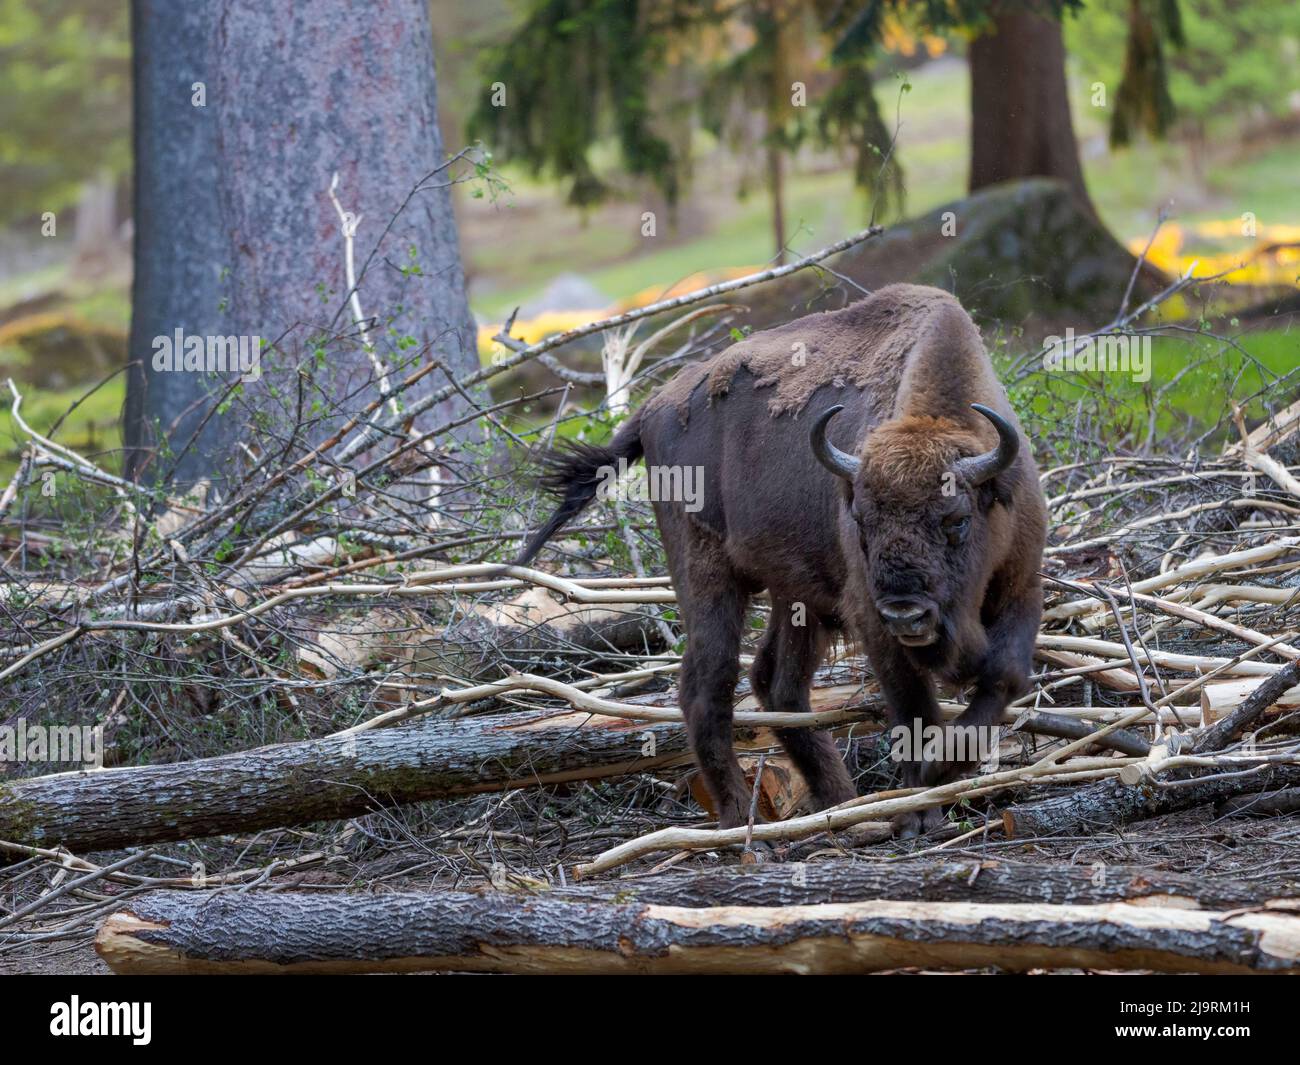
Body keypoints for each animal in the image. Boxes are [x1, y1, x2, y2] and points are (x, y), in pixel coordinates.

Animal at [517, 284, 1045, 842]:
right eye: (860, 520)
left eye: (957, 519)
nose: (906, 613)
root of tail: (652, 409)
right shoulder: (871, 617)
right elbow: (912, 707)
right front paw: (919, 804)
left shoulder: (1022, 587)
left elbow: (1006, 675)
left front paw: (941, 771)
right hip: (708, 576)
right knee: (709, 685)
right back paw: (739, 823)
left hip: (795, 597)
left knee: (777, 684)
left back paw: (841, 804)